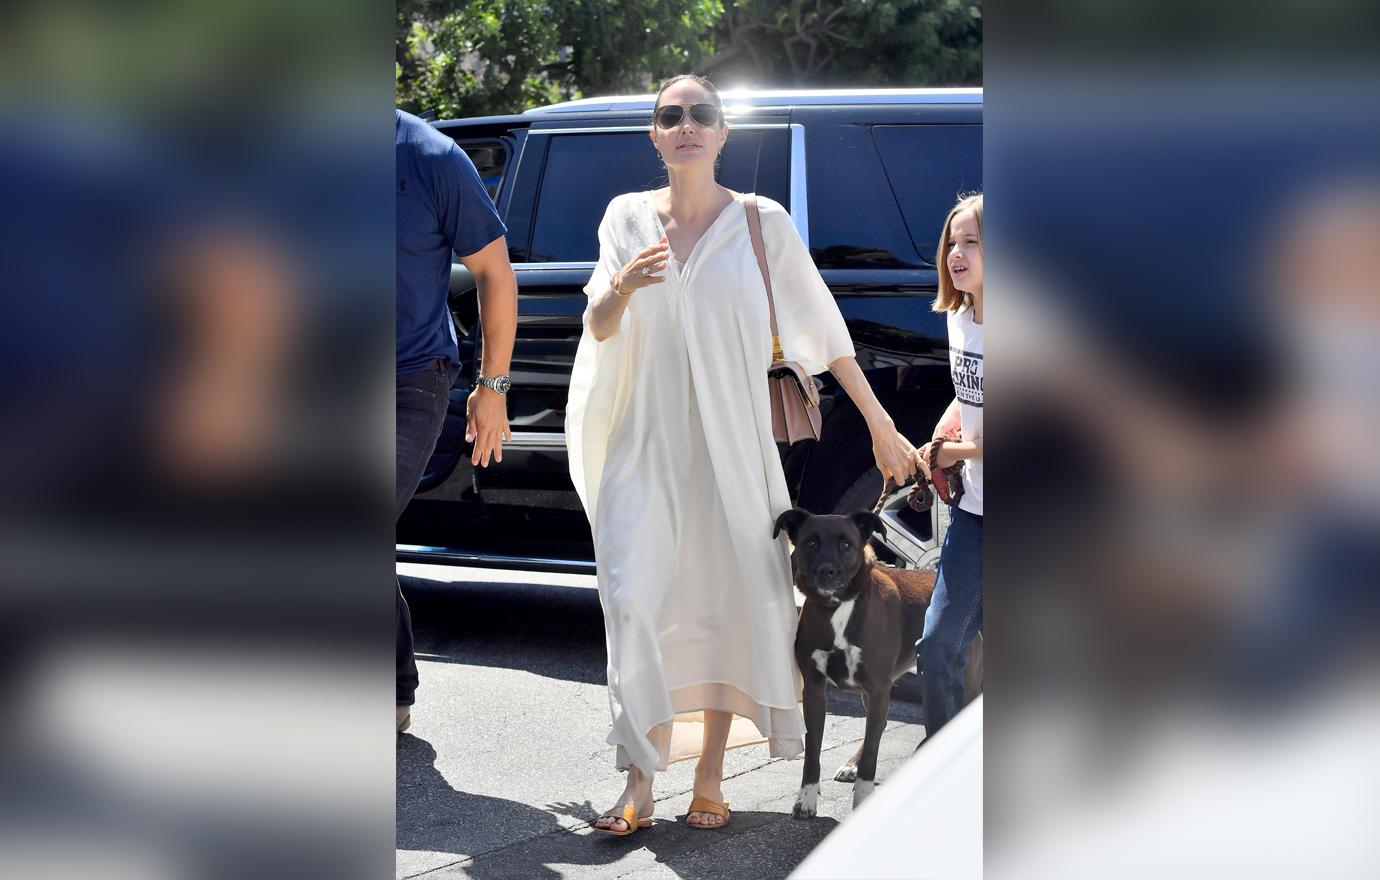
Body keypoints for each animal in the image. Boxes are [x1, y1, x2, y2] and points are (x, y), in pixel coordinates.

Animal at [778, 510, 938, 822]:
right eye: (811, 542)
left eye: (846, 544)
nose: (826, 571)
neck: (839, 608)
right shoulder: (814, 689)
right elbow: (812, 751)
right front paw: (806, 799)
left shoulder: (878, 688)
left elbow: (873, 754)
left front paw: (864, 799)